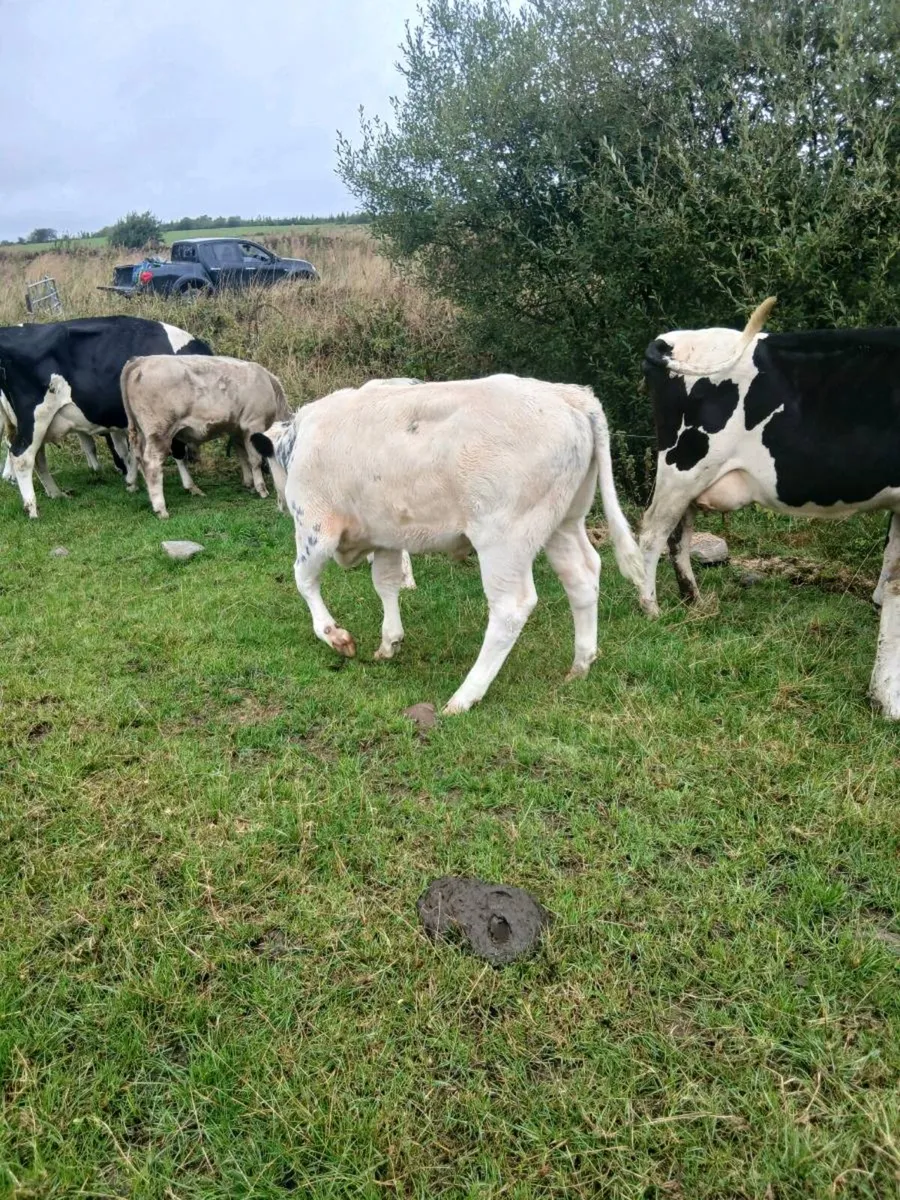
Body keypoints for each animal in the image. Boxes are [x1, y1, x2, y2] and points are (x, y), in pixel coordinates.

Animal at [0, 316, 212, 518]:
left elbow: (132, 452)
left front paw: (132, 482)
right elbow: (176, 451)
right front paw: (190, 486)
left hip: (36, 424)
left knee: (38, 457)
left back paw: (56, 493)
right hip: (36, 416)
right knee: (22, 457)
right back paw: (32, 509)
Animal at [120, 354, 290, 519]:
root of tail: (140, 360)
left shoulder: (237, 429)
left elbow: (242, 456)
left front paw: (249, 483)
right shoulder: (253, 424)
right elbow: (255, 460)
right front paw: (261, 489)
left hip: (140, 433)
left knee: (139, 459)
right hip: (159, 432)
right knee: (152, 464)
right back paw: (160, 508)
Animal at [250, 374, 645, 714]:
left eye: (268, 462)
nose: (280, 503)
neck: (299, 442)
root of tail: (568, 394)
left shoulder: (316, 527)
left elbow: (304, 580)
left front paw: (335, 636)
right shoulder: (386, 534)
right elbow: (386, 583)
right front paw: (389, 642)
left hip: (504, 539)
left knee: (511, 608)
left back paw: (465, 696)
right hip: (564, 522)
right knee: (582, 577)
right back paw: (581, 664)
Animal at [637, 298, 900, 715]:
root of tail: (669, 339)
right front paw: (889, 699)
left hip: (693, 478)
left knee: (678, 535)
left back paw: (694, 600)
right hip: (684, 465)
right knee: (652, 534)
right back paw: (650, 608)